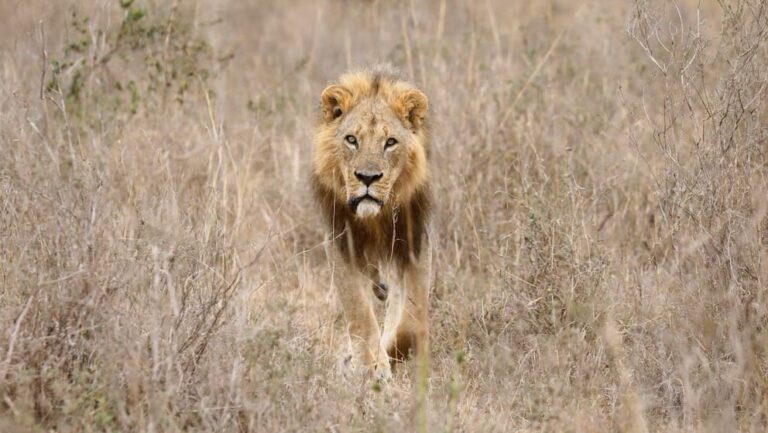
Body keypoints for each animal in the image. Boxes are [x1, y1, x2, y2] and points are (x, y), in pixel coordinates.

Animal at [311, 66, 431, 380]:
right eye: (352, 139)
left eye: (390, 143)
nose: (367, 177)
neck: (375, 217)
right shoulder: (341, 242)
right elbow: (360, 313)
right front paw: (370, 367)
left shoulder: (414, 241)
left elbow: (411, 318)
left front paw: (390, 354)